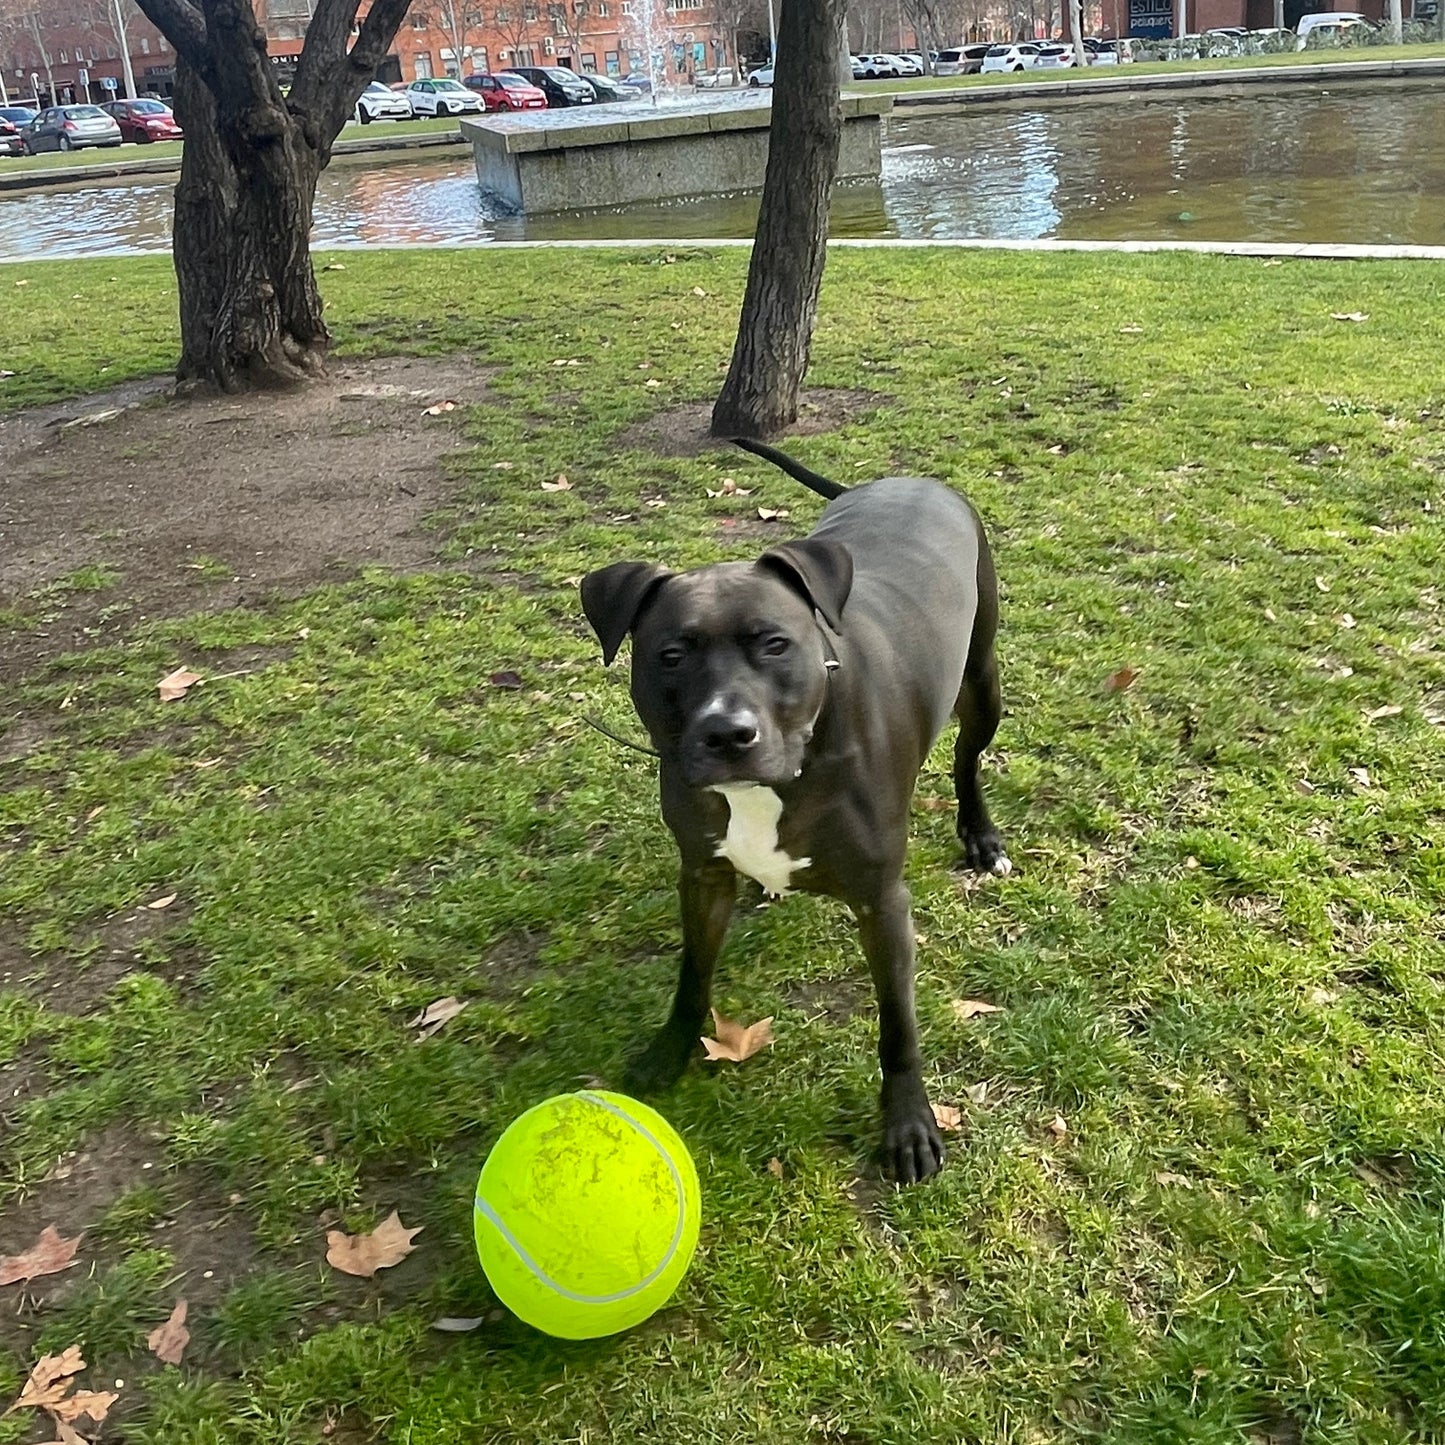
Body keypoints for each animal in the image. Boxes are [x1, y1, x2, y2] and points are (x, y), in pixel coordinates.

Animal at [580, 442, 1011, 1184]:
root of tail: (910, 480)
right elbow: (692, 973)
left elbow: (897, 1024)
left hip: (981, 684)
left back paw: (980, 835)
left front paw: (907, 1123)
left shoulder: (881, 902)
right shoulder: (702, 875)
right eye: (671, 655)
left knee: (966, 760)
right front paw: (667, 1052)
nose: (728, 734)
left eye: (774, 644)